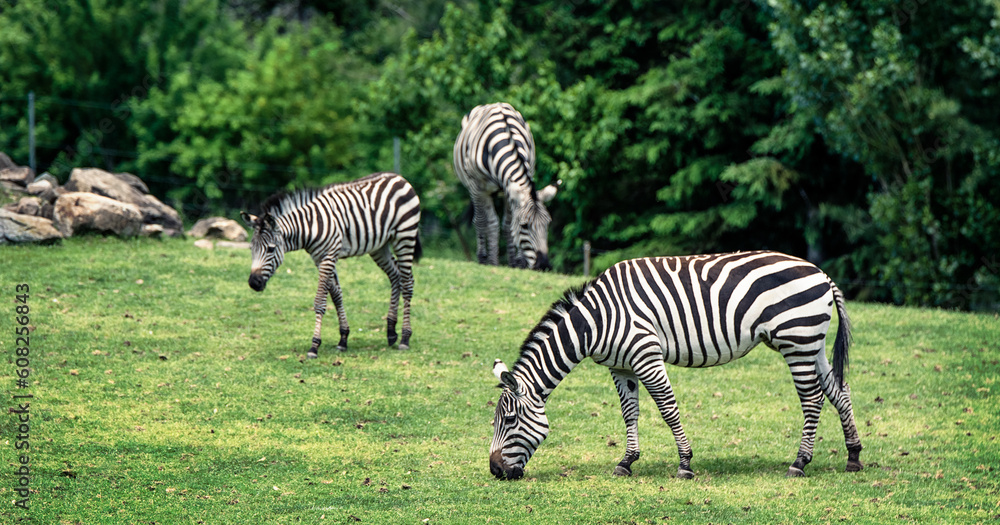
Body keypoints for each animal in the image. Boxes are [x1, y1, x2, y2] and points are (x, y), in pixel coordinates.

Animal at [240, 172, 422, 358]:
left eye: (270, 249)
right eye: (251, 249)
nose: (253, 283)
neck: (310, 227)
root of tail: (398, 176)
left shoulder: (328, 257)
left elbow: (320, 302)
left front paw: (314, 346)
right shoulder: (320, 259)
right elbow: (337, 296)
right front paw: (343, 339)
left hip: (405, 236)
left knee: (408, 282)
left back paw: (405, 338)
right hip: (379, 246)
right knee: (395, 276)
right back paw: (391, 332)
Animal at [453, 102, 558, 271]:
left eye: (547, 223)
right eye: (524, 226)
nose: (544, 265)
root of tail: (493, 104)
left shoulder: (509, 188)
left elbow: (508, 225)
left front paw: (516, 263)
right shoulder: (479, 187)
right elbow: (490, 223)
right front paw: (493, 262)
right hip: (472, 188)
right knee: (479, 220)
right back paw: (482, 257)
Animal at [489, 251, 863, 480]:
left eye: (509, 420)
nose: (494, 471)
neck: (595, 322)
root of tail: (821, 273)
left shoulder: (645, 354)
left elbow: (668, 409)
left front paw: (685, 463)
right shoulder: (621, 367)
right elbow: (630, 412)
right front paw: (627, 461)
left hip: (796, 340)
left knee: (812, 399)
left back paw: (800, 462)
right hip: (812, 343)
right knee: (839, 391)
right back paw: (854, 456)